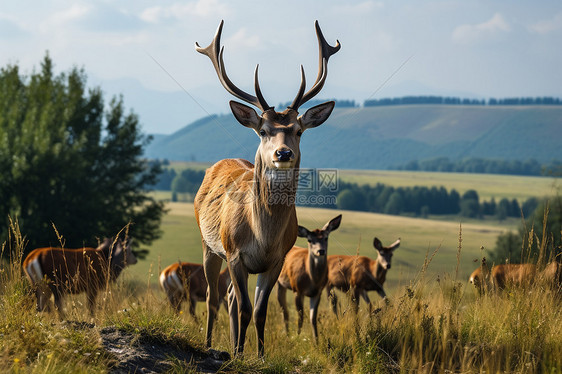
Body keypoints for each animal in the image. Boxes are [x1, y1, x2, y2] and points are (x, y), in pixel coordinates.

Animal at [276, 215, 342, 344]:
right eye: (310, 240)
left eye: (326, 238)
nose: (320, 251)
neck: (312, 281)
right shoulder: (297, 289)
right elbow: (301, 316)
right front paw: (297, 337)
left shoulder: (317, 293)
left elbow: (313, 318)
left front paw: (316, 341)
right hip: (280, 282)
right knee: (284, 310)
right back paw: (287, 334)